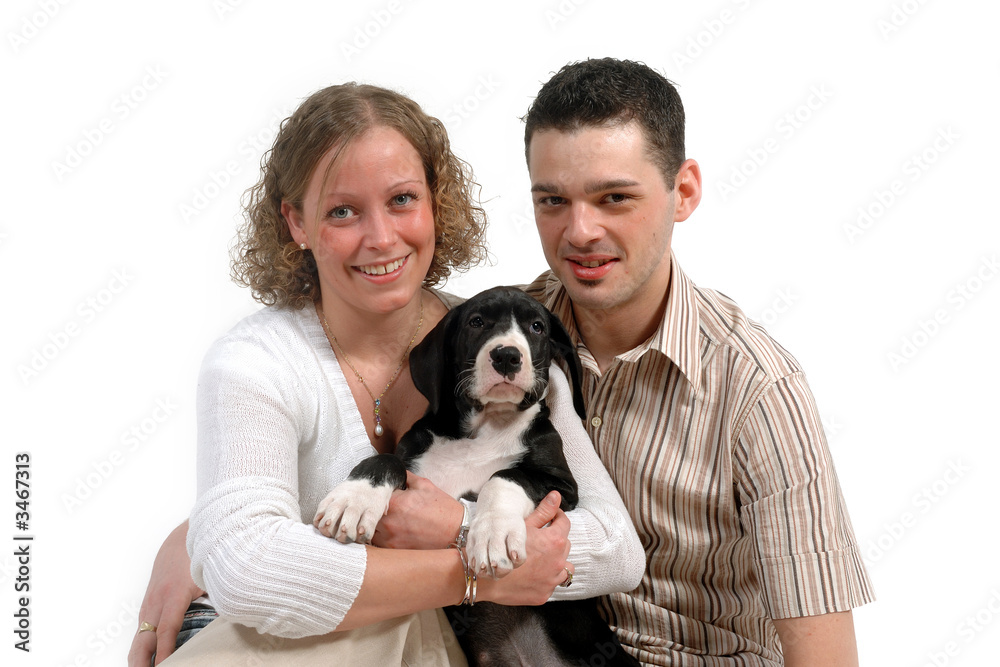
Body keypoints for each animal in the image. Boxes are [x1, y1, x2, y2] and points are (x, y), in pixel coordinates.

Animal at [316, 288, 636, 667]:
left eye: (537, 326)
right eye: (477, 322)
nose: (507, 356)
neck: (484, 428)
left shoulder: (563, 487)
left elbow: (506, 474)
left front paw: (493, 533)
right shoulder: (412, 461)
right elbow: (386, 459)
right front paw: (354, 499)